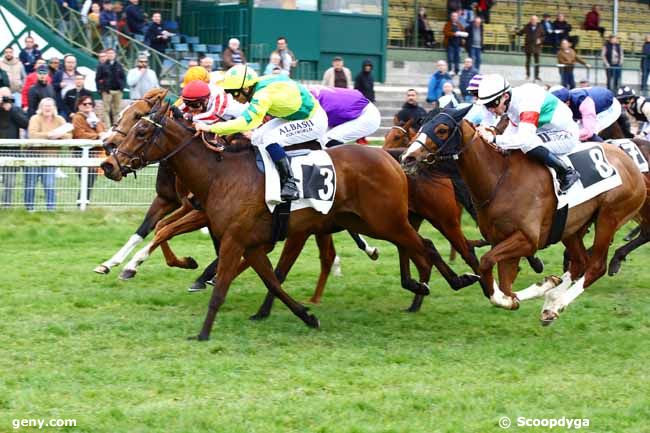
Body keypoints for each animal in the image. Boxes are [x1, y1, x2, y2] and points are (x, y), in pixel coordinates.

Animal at [101, 102, 442, 340]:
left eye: (141, 130)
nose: (108, 163)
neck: (219, 174)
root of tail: (389, 157)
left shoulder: (232, 237)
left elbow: (220, 280)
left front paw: (203, 330)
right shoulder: (247, 241)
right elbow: (273, 281)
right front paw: (306, 316)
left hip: (384, 220)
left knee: (421, 245)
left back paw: (425, 285)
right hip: (364, 221)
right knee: (411, 245)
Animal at [402, 106, 644, 324]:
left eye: (442, 129)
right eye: (422, 124)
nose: (408, 157)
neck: (500, 180)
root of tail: (631, 164)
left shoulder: (527, 240)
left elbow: (486, 264)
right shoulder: (502, 240)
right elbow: (506, 288)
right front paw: (539, 287)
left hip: (609, 217)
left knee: (595, 266)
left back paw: (557, 304)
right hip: (572, 228)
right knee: (579, 262)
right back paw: (551, 299)